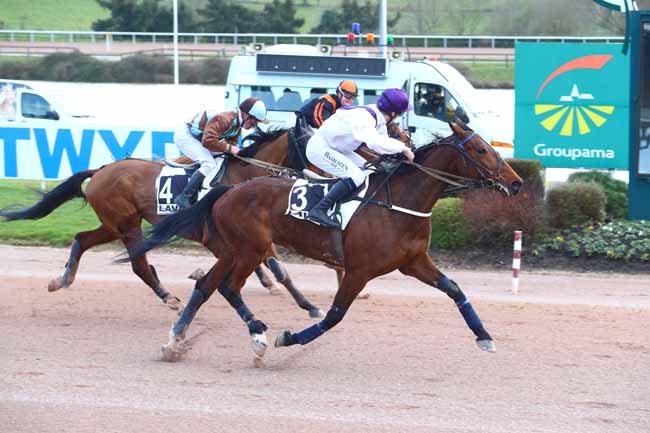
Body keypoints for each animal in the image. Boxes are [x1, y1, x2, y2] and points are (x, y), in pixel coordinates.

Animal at [0, 128, 324, 317]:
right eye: (310, 146)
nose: (325, 179)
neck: (243, 176)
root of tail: (101, 169)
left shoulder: (254, 236)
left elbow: (278, 268)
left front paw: (308, 305)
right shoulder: (228, 237)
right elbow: (268, 266)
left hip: (114, 224)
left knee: (81, 238)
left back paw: (62, 279)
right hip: (126, 223)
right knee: (139, 264)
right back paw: (169, 298)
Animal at [125, 123, 523, 361]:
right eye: (481, 150)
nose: (517, 182)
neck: (398, 202)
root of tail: (227, 190)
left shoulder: (413, 262)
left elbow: (455, 290)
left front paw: (484, 336)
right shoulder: (358, 270)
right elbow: (334, 315)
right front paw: (289, 338)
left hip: (233, 249)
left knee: (208, 286)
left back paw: (174, 340)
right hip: (251, 249)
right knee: (229, 287)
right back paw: (258, 335)